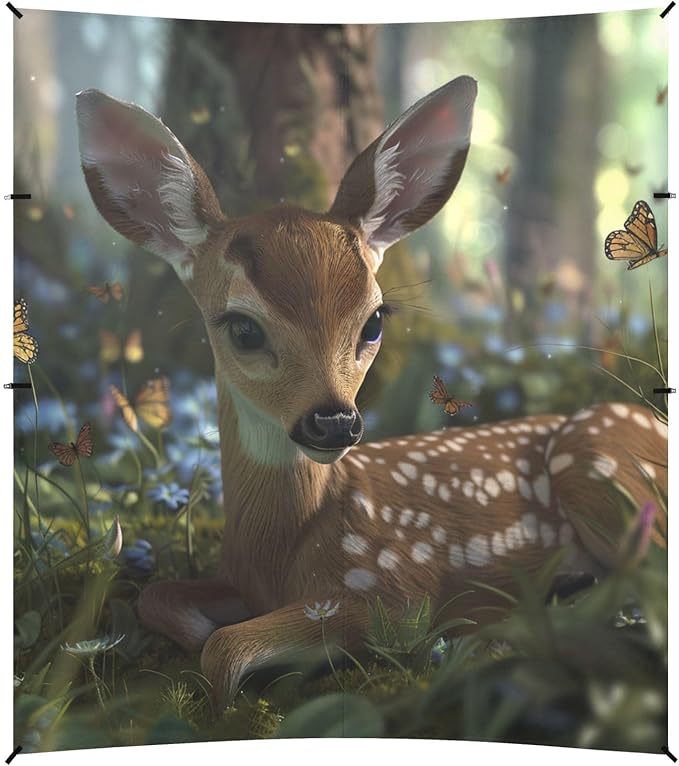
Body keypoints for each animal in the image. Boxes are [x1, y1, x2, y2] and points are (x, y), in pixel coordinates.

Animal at [75, 75, 667, 708]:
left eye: (374, 320)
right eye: (242, 328)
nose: (333, 422)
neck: (280, 546)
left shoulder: (393, 592)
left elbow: (226, 647)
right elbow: (156, 596)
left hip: (600, 469)